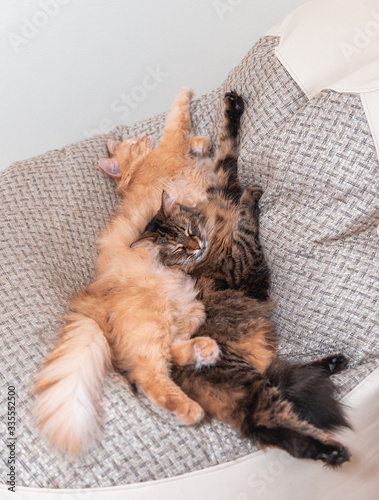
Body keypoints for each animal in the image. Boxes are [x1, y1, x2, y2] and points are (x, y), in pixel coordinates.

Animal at [135, 91, 352, 464]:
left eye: (188, 231)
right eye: (177, 248)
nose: (196, 245)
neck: (211, 228)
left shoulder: (223, 187)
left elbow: (227, 151)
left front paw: (232, 107)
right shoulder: (243, 254)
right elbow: (247, 215)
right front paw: (253, 194)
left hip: (258, 377)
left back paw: (332, 363)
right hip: (243, 382)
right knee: (269, 423)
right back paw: (330, 450)